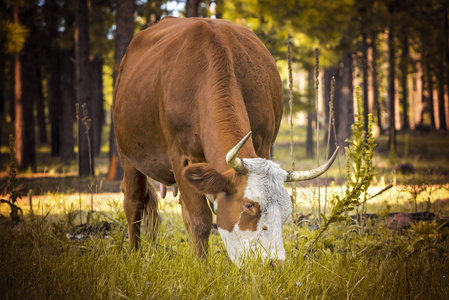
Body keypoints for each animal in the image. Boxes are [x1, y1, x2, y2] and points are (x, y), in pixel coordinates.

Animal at [112, 16, 336, 264]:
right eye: (249, 205)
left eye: (286, 210)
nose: (274, 263)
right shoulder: (181, 156)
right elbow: (199, 220)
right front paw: (202, 266)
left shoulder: (263, 144)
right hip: (127, 154)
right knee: (134, 203)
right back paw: (135, 255)